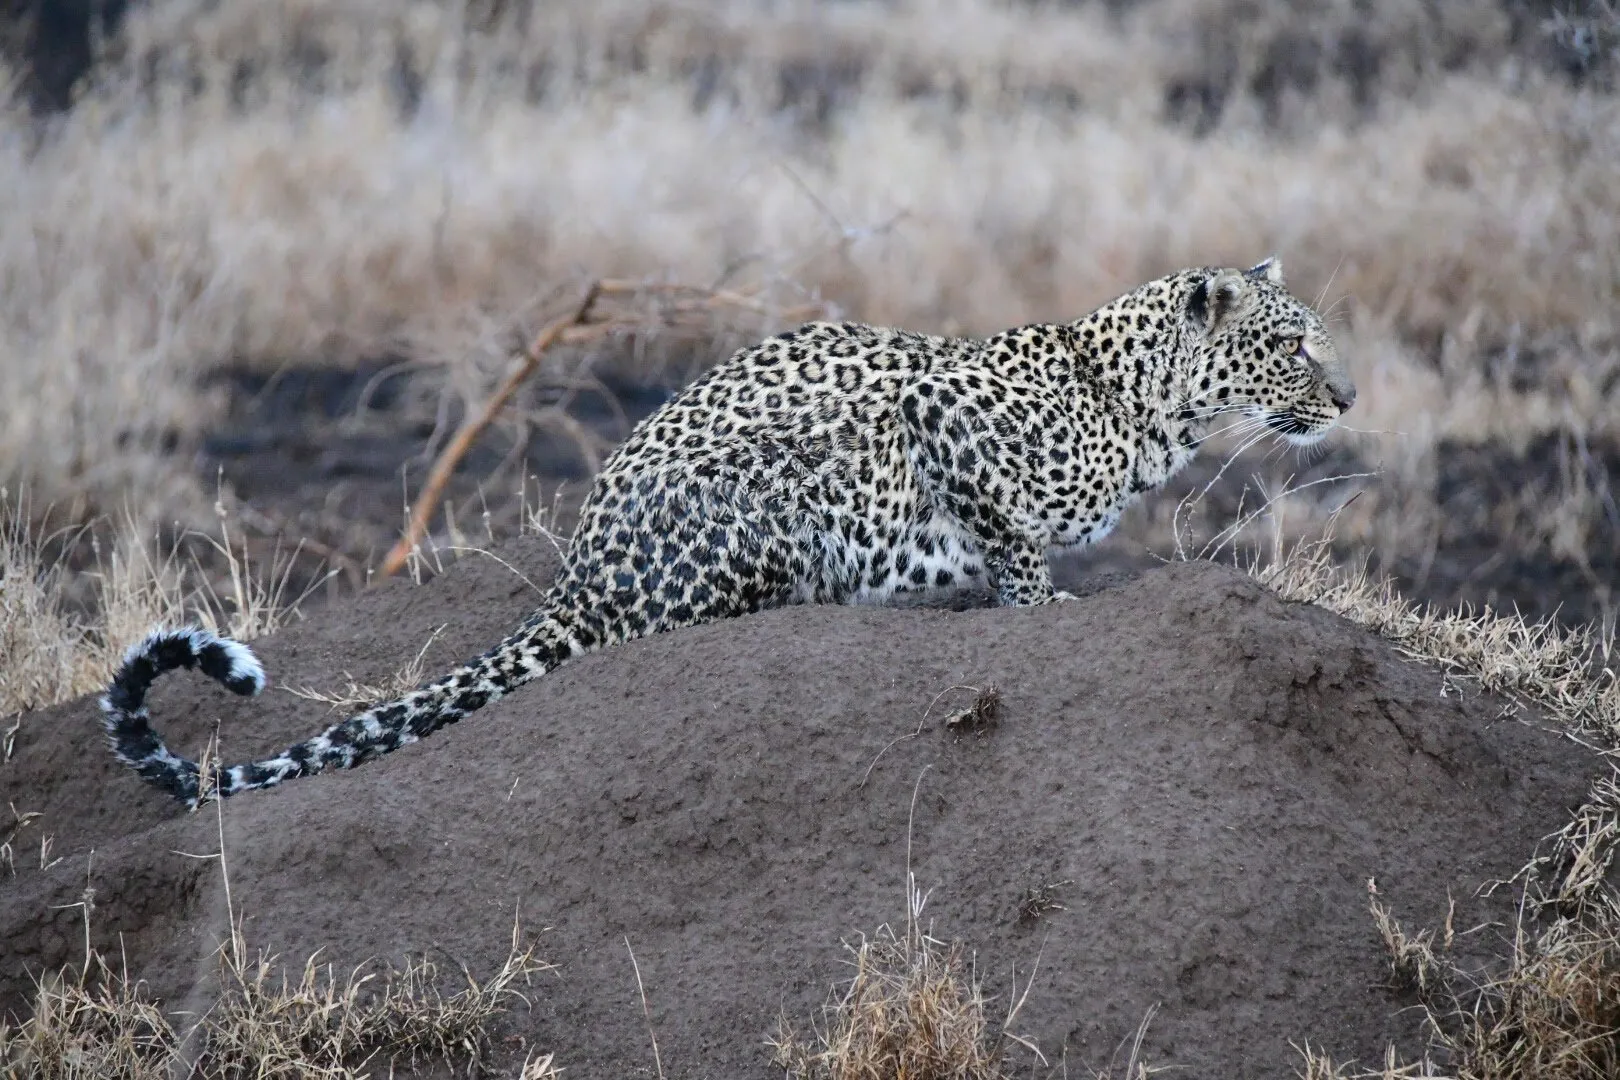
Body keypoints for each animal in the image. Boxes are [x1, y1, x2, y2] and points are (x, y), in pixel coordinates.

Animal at [101, 257, 1355, 808]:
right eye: (1293, 343)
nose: (1347, 396)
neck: (1143, 406)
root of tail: (578, 578)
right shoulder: (933, 417)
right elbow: (1008, 540)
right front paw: (1034, 599)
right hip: (790, 482)